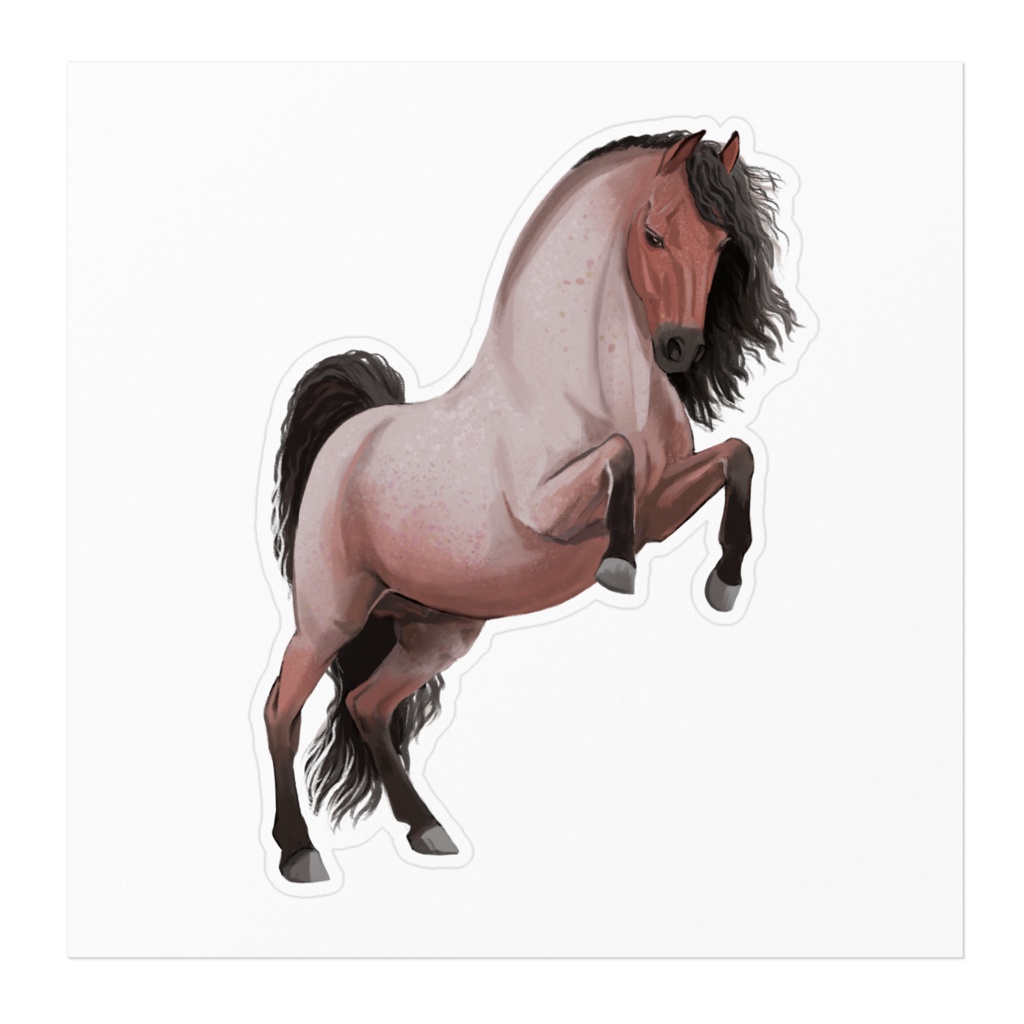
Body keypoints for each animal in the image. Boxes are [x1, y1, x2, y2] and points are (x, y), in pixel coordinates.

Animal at [263, 129, 797, 883]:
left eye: (722, 242)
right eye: (654, 234)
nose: (679, 348)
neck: (584, 382)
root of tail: (349, 437)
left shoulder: (664, 504)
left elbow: (738, 457)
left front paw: (724, 581)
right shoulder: (548, 510)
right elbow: (617, 456)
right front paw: (619, 566)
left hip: (437, 630)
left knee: (367, 707)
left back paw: (427, 830)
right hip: (329, 618)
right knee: (281, 710)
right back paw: (299, 853)